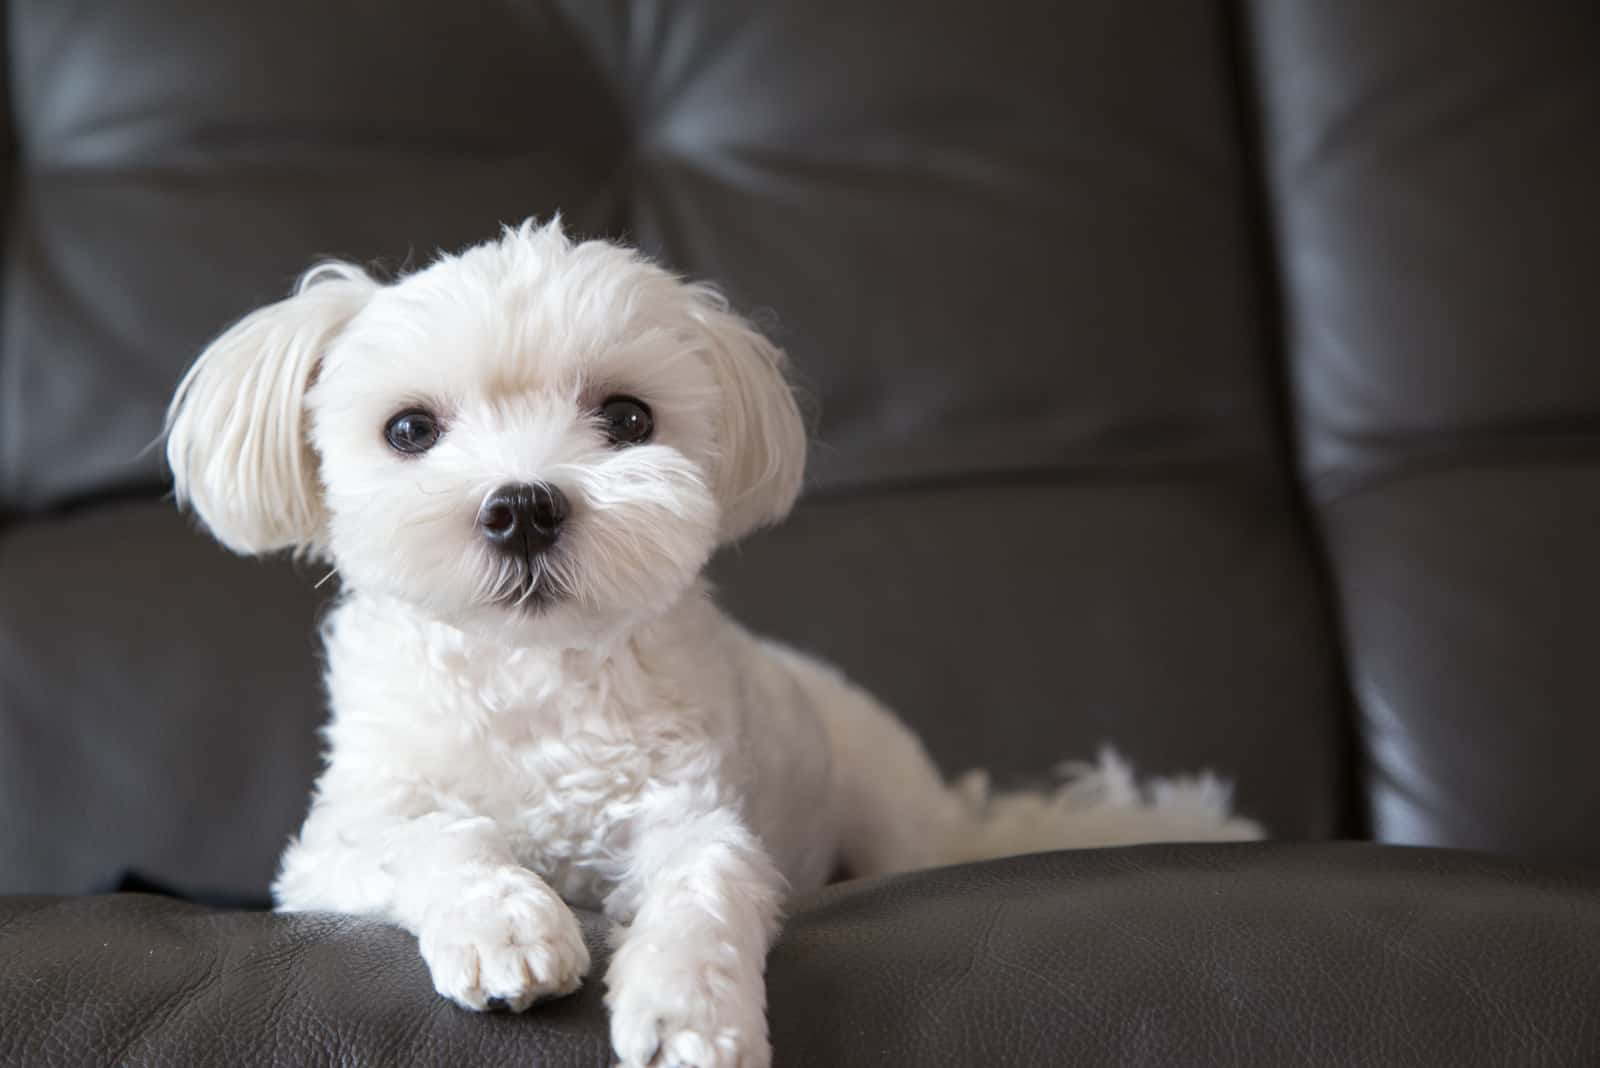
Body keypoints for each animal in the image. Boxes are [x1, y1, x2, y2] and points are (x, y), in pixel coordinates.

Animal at [165, 217, 1260, 1068]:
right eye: (408, 430)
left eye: (626, 417)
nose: (522, 507)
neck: (535, 676)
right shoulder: (330, 850)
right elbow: (430, 833)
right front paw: (504, 924)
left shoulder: (691, 813)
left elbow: (705, 889)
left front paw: (687, 1010)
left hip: (890, 823)